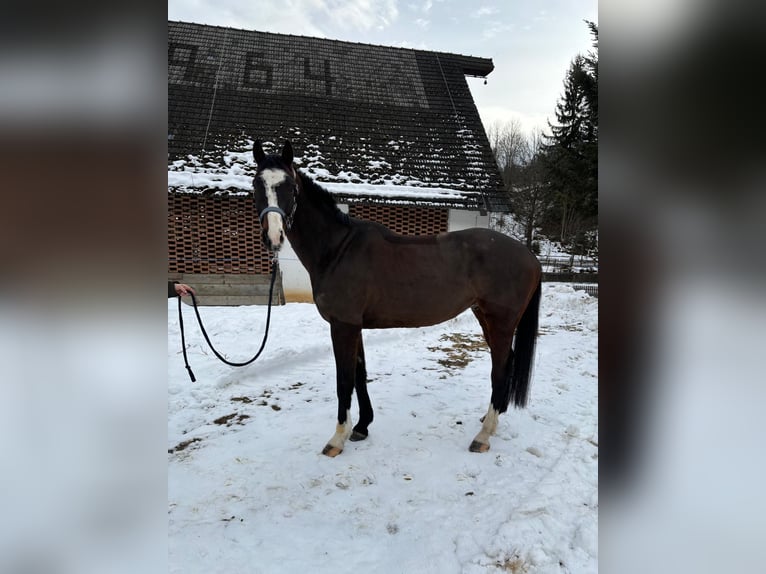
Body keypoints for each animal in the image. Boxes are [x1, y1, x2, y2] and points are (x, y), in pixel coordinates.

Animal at [252, 141, 540, 460]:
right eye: (256, 184)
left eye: (289, 186)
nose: (273, 236)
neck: (338, 249)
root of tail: (530, 257)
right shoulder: (354, 326)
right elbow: (360, 374)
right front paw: (361, 427)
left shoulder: (342, 326)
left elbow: (344, 381)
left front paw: (337, 439)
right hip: (484, 317)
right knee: (505, 363)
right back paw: (492, 418)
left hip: (501, 322)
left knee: (500, 367)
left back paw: (484, 435)